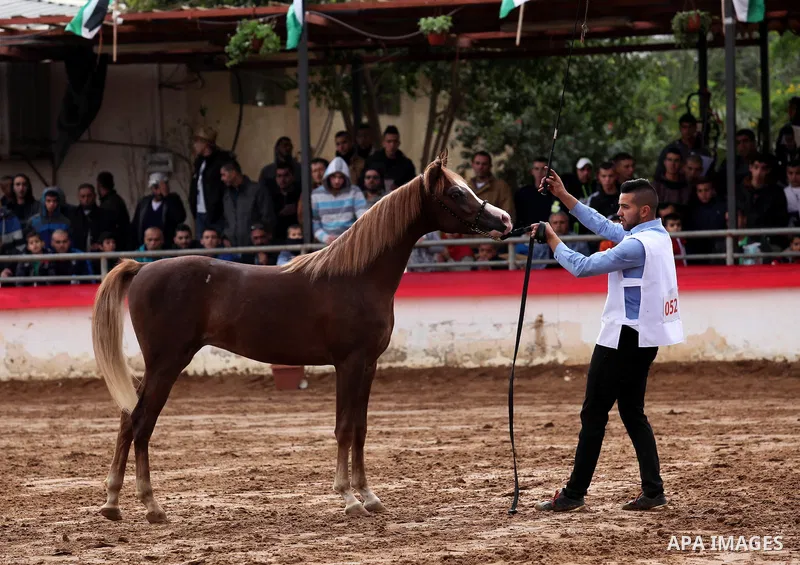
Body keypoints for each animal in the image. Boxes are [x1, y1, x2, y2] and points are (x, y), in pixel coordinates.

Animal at [91, 151, 513, 523]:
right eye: (456, 192)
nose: (505, 219)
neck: (358, 277)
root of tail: (142, 268)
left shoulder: (369, 365)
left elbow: (360, 428)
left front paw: (369, 496)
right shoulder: (349, 363)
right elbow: (344, 428)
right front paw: (348, 499)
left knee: (128, 419)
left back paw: (112, 503)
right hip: (167, 363)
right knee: (142, 422)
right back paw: (152, 507)